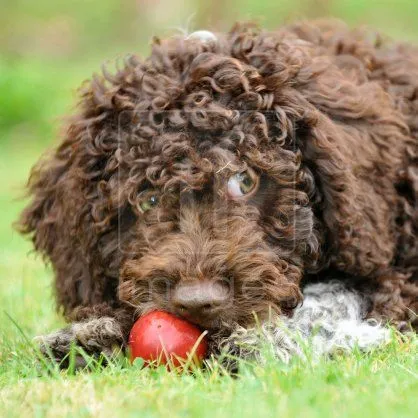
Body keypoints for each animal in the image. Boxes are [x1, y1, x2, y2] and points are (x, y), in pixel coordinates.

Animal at [18, 20, 418, 366]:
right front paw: (88, 334)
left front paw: (265, 339)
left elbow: (334, 299)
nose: (197, 302)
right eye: (147, 199)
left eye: (245, 180)